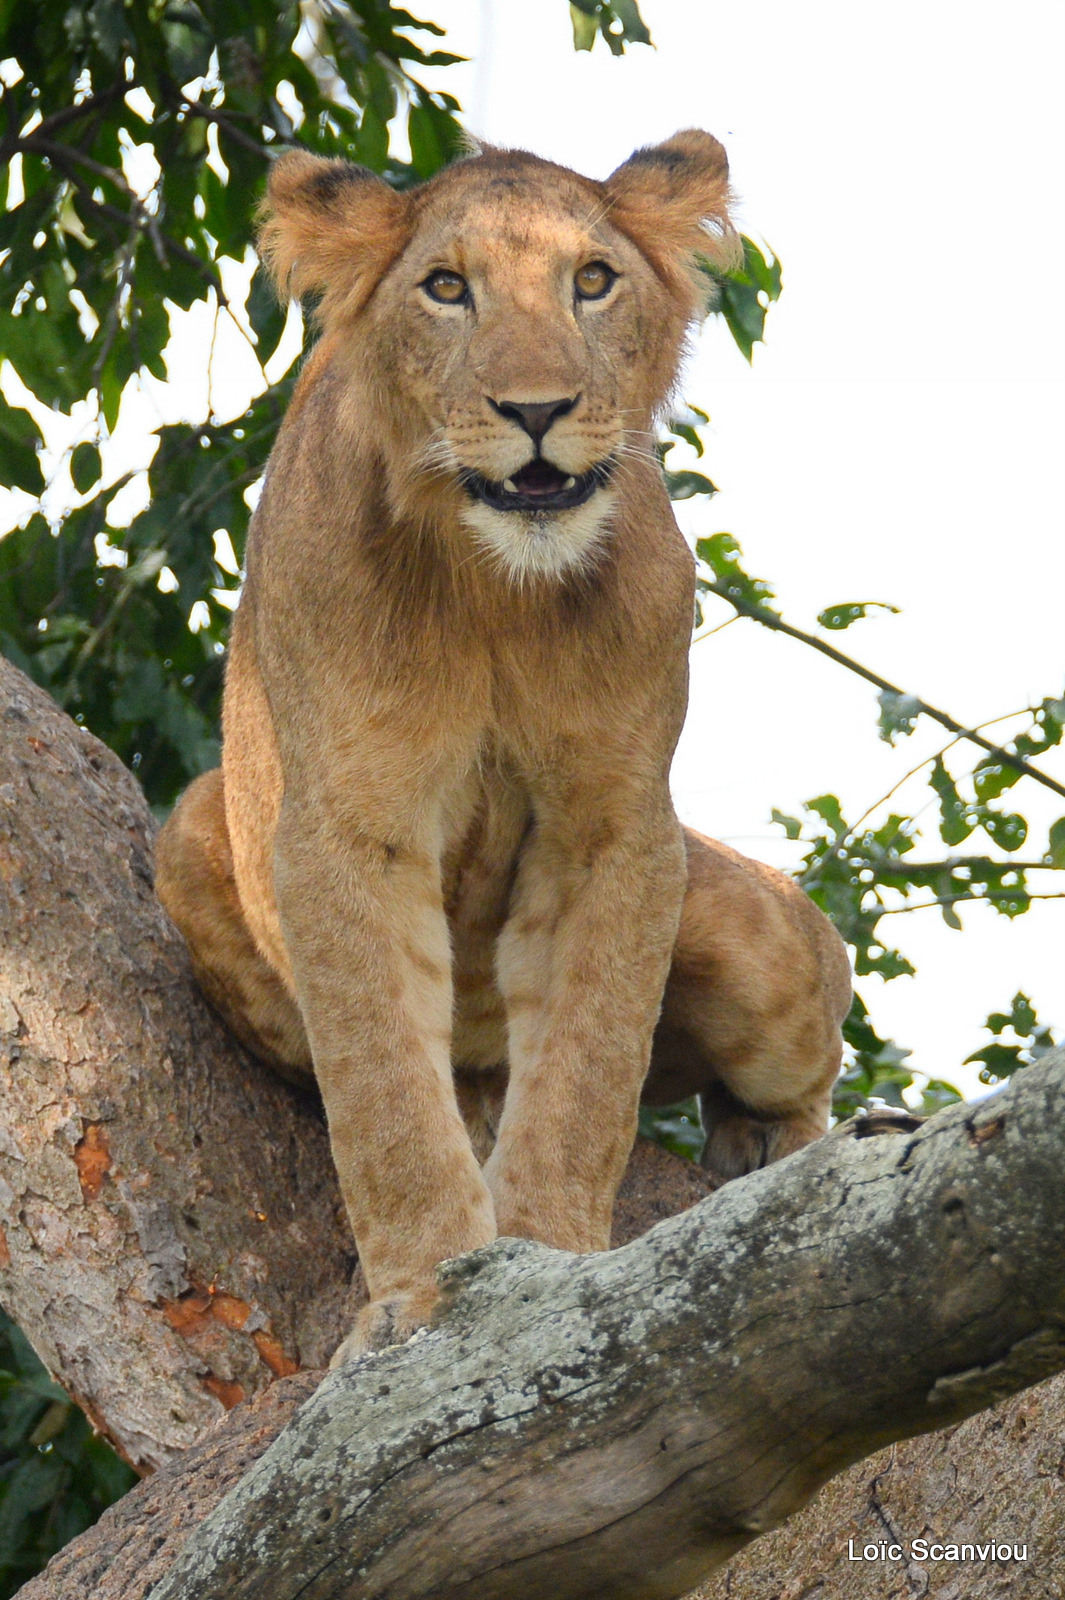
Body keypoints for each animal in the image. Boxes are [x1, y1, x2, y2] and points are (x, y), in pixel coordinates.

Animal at [157, 131, 850, 1369]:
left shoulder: (616, 829)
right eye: (447, 288)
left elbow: (585, 1075)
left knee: (815, 1008)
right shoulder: (347, 827)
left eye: (593, 280)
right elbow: (384, 1094)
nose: (538, 409)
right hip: (195, 833)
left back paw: (779, 1145)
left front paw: (551, 1262)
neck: (494, 588)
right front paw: (419, 1298)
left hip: (747, 936)